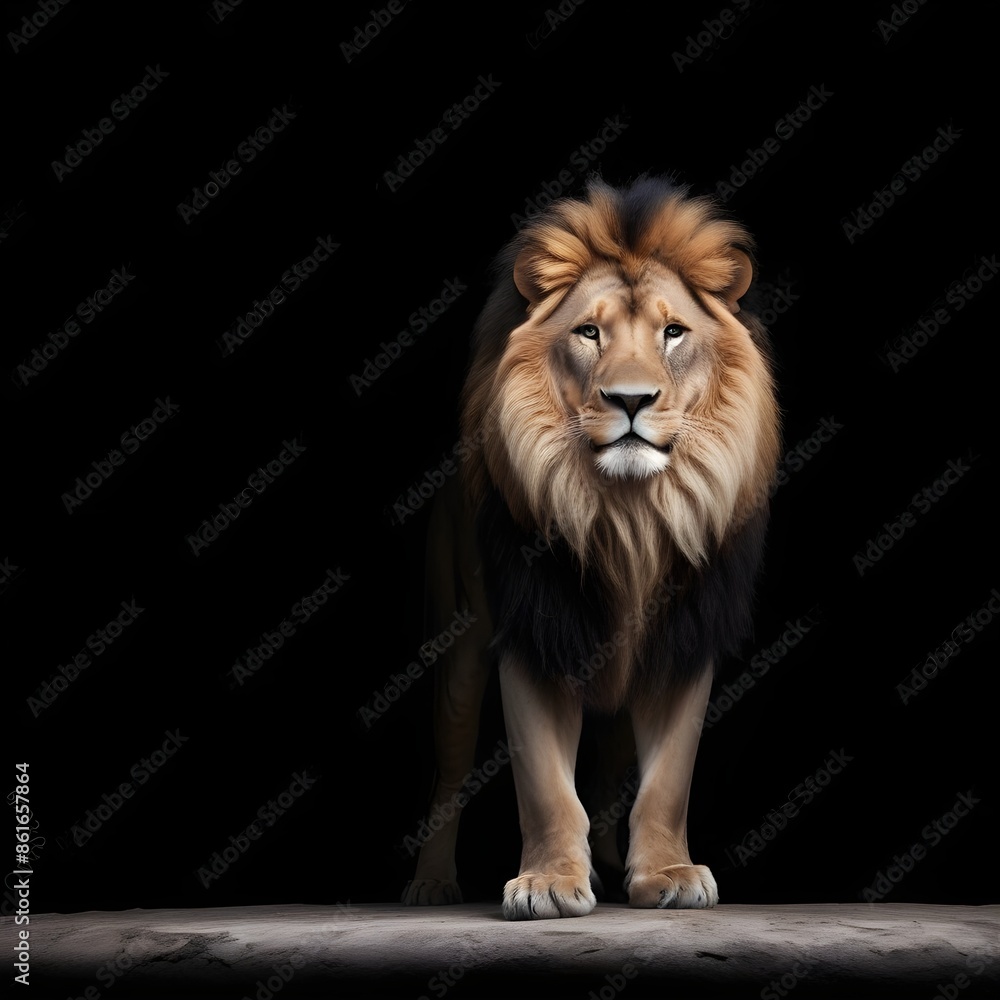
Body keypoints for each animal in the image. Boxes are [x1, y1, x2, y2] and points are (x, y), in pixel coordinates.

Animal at [401, 175, 781, 919]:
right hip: (458, 647)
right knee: (449, 768)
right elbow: (546, 784)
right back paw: (430, 883)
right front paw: (549, 882)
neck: (627, 516)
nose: (630, 400)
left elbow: (667, 781)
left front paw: (668, 875)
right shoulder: (533, 631)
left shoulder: (683, 637)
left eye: (672, 332)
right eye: (588, 332)